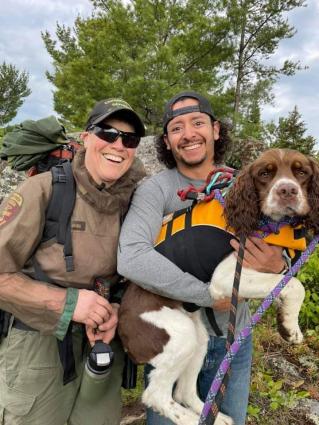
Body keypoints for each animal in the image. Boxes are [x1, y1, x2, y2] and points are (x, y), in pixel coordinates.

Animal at [119, 148, 319, 424]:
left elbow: (283, 283)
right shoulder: (225, 277)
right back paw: (193, 419)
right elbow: (295, 285)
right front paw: (290, 328)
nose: (287, 190)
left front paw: (288, 324)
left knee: (182, 391)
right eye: (264, 173)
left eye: (302, 172)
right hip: (178, 333)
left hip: (197, 335)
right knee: (156, 395)